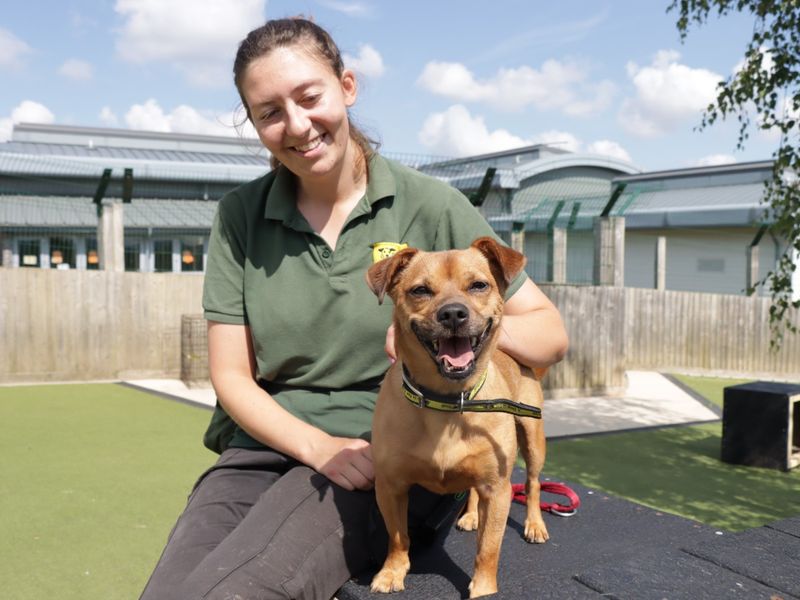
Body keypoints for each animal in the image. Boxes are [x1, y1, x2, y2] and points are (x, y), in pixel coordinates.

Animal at [366, 237, 548, 596]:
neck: (448, 402)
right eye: (420, 290)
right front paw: (392, 572)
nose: (452, 313)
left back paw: (534, 524)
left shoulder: (498, 489)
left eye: (479, 285)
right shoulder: (391, 486)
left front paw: (484, 589)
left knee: (533, 483)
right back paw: (471, 515)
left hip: (533, 438)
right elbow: (397, 537)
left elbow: (488, 547)